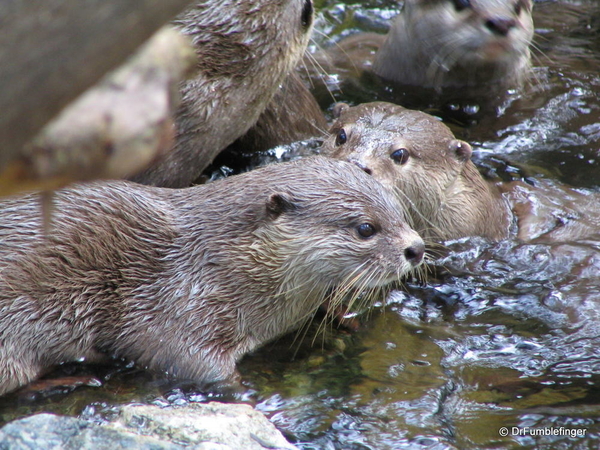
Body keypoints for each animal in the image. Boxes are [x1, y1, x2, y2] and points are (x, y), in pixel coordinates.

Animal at [0, 156, 426, 396]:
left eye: (400, 211)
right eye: (366, 228)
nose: (416, 248)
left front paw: (343, 317)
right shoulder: (178, 308)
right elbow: (182, 360)